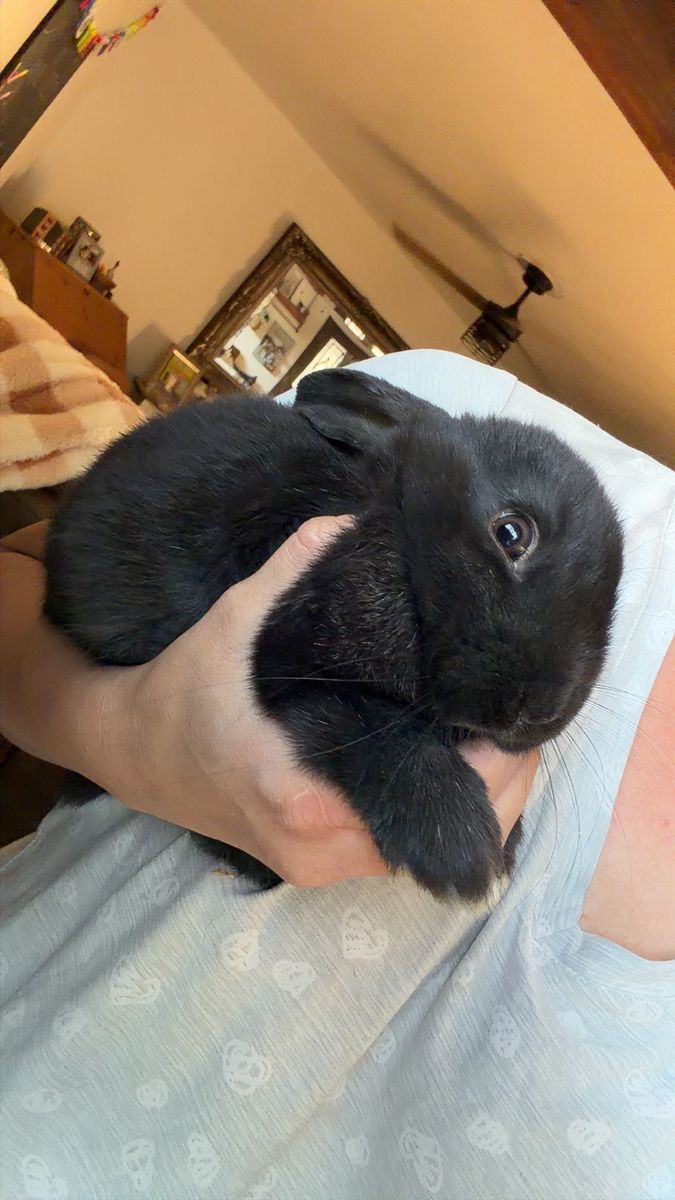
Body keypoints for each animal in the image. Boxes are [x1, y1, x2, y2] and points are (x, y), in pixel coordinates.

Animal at [44, 367, 623, 899]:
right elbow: (378, 730)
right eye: (511, 533)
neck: (404, 541)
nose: (538, 710)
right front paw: (460, 852)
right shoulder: (293, 661)